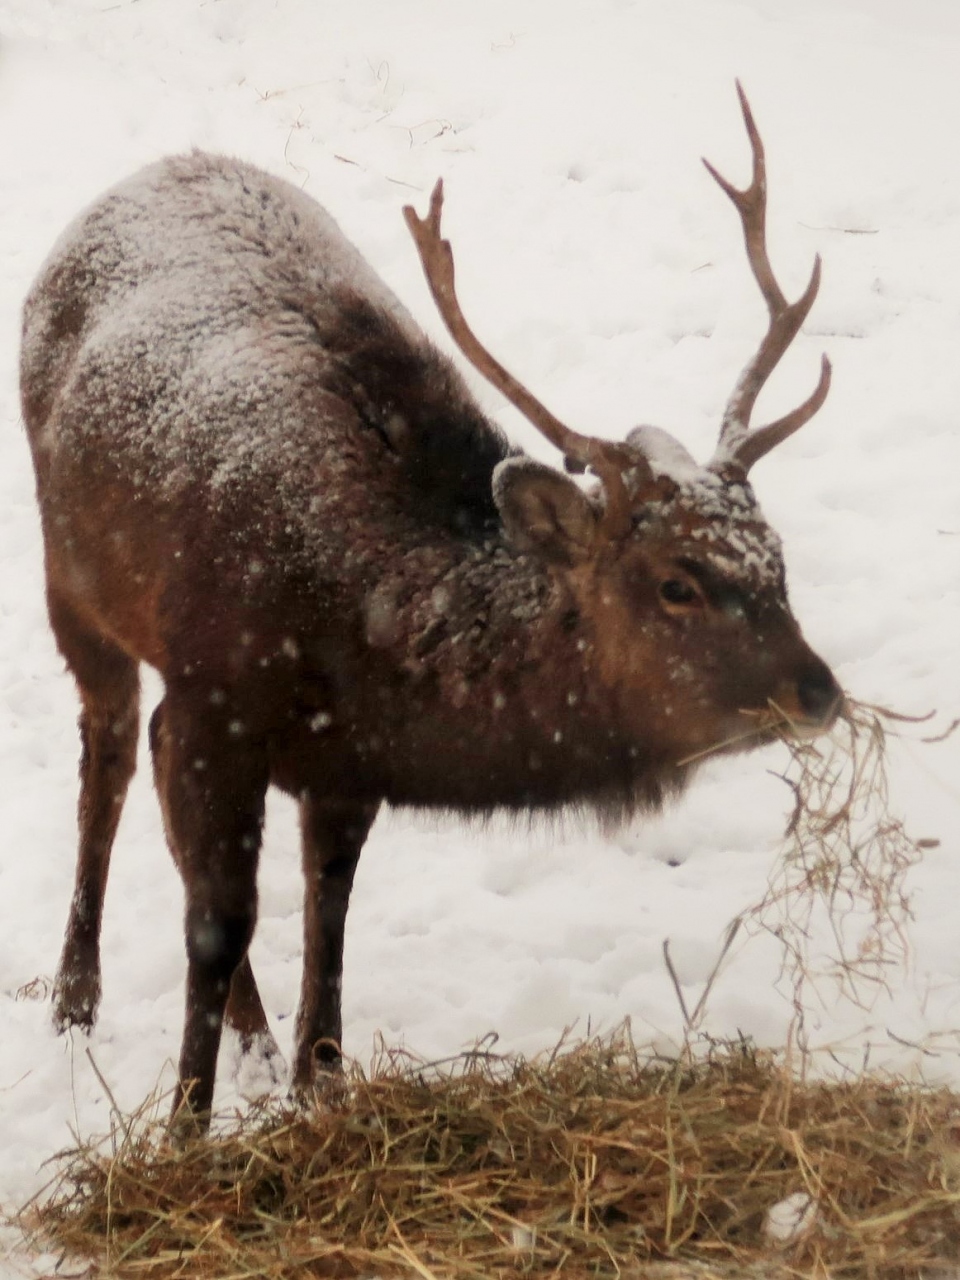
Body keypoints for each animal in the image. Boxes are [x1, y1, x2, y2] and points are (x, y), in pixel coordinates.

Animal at [22, 87, 839, 1131]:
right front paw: (183, 1130)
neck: (357, 640)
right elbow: (218, 920)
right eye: (676, 582)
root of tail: (145, 173)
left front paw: (317, 1081)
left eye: (778, 562)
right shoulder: (219, 694)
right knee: (112, 757)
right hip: (73, 580)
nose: (820, 692)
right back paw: (74, 997)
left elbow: (327, 906)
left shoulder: (340, 759)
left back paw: (250, 1037)